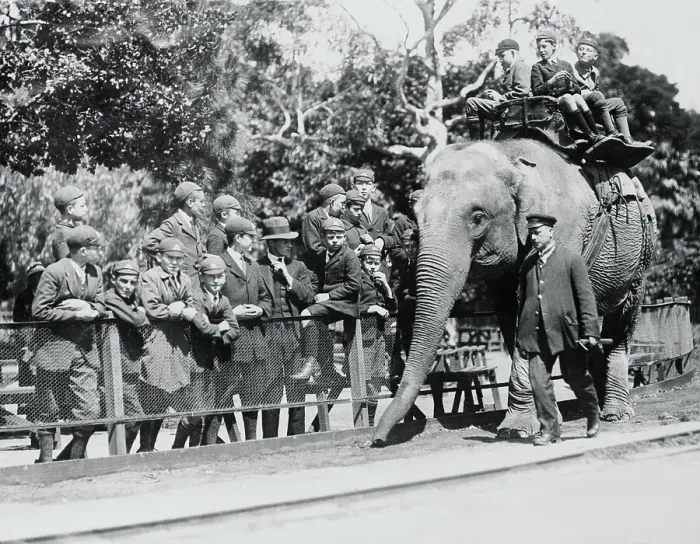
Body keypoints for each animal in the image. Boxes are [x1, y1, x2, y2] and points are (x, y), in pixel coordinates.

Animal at [372, 138, 655, 445]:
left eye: (478, 218)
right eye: (417, 217)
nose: (375, 440)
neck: (510, 157)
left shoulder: (566, 228)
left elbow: (527, 312)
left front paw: (514, 429)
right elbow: (512, 317)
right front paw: (534, 422)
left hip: (641, 256)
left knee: (622, 323)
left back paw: (615, 413)